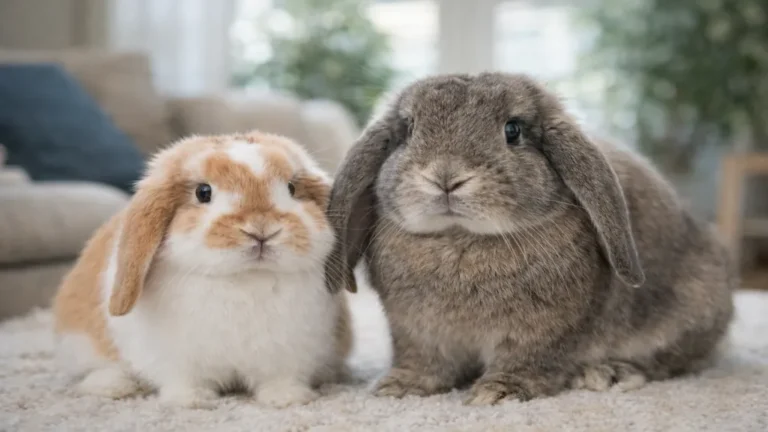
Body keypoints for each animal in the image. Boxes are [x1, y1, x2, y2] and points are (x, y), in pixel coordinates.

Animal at [53, 131, 353, 409]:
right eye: (203, 192)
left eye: (291, 188)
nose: (261, 230)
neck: (246, 278)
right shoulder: (177, 360)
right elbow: (185, 380)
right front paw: (192, 401)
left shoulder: (288, 355)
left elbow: (281, 378)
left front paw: (287, 398)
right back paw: (112, 387)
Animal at [324, 72, 736, 405]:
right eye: (408, 129)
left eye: (513, 130)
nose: (446, 176)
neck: (459, 238)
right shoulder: (416, 332)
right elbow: (423, 362)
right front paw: (399, 387)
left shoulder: (541, 334)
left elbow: (526, 362)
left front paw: (499, 392)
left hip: (688, 313)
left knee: (670, 361)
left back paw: (610, 373)